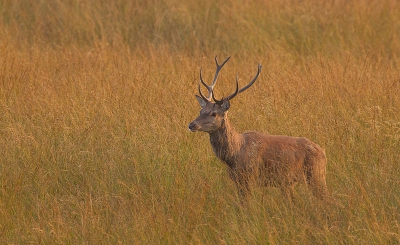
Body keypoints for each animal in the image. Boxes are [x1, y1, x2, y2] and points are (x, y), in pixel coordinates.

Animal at [188, 56, 328, 204]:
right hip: (290, 183)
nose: (192, 125)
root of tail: (323, 152)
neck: (234, 155)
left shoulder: (250, 176)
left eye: (213, 113)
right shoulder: (237, 180)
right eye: (201, 111)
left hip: (316, 174)